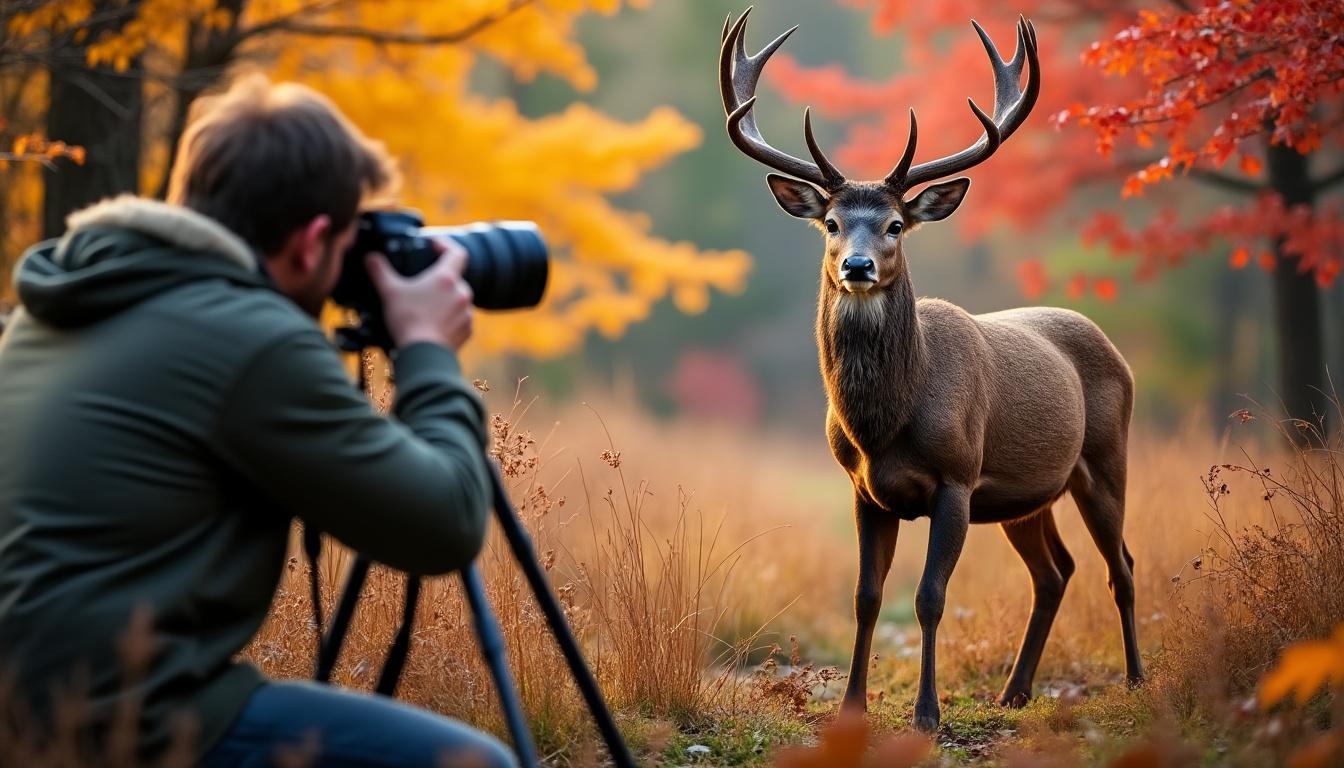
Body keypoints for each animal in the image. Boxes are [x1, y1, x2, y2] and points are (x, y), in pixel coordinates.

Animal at [718, 9, 1142, 732]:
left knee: (1123, 564)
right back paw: (1015, 692)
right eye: (831, 223)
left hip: (1105, 458)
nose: (857, 266)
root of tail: (1113, 347)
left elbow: (928, 597)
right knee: (1055, 570)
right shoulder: (863, 489)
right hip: (1025, 495)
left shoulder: (957, 476)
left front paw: (926, 714)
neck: (884, 424)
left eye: (895, 224)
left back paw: (1139, 680)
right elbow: (866, 596)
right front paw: (852, 708)